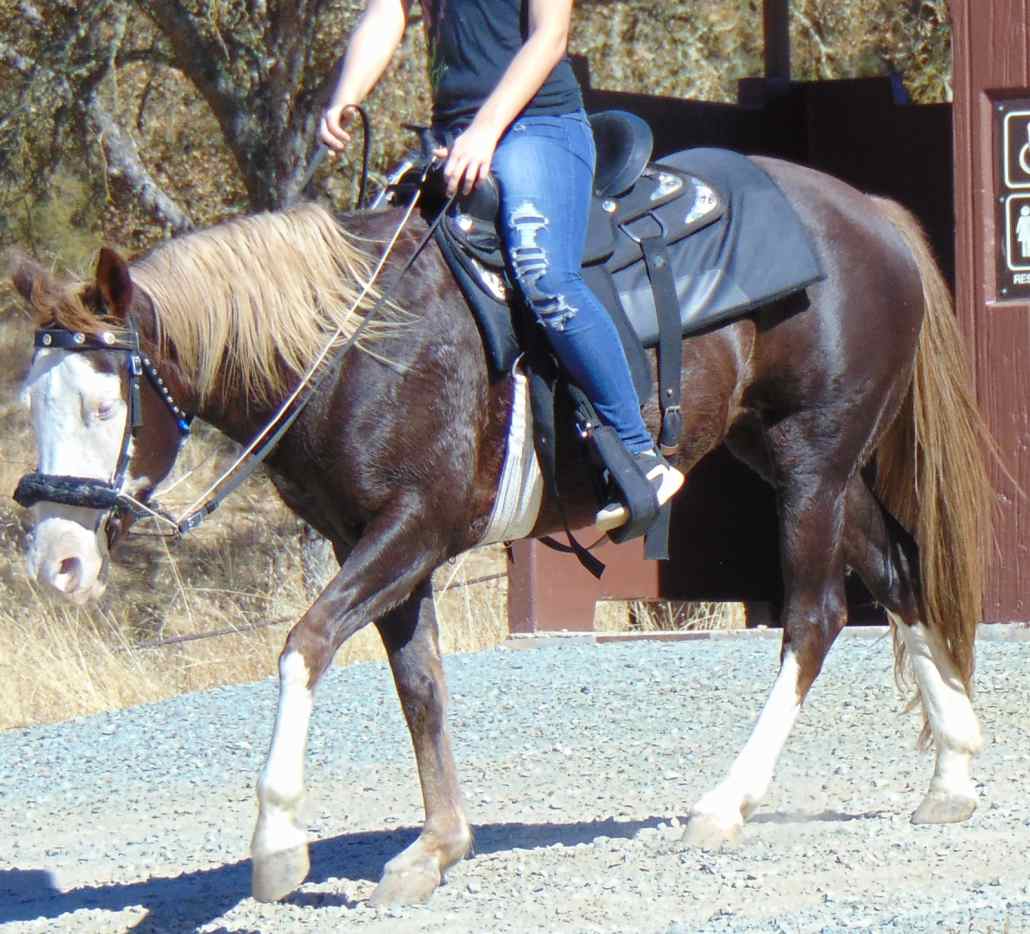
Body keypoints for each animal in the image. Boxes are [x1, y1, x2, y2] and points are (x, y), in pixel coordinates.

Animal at [8, 153, 993, 908]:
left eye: (105, 406)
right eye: (33, 403)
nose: (57, 561)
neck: (353, 347)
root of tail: (867, 213)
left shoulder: (414, 528)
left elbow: (305, 645)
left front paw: (279, 841)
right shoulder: (370, 543)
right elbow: (420, 685)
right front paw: (436, 846)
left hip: (812, 467)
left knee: (814, 621)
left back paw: (726, 805)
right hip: (801, 463)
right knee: (900, 576)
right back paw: (951, 778)